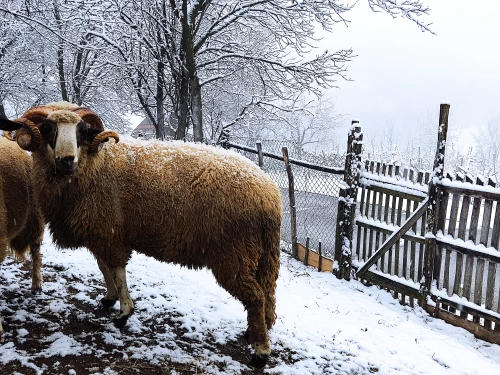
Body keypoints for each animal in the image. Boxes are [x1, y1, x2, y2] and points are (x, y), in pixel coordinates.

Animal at [0, 103, 282, 370]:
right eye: (48, 128)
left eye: (82, 130)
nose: (67, 160)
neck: (94, 164)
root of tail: (269, 195)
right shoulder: (102, 232)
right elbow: (103, 267)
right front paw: (109, 298)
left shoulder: (109, 231)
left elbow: (117, 271)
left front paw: (124, 313)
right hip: (261, 256)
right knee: (266, 294)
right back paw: (254, 333)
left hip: (234, 254)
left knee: (255, 297)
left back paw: (260, 354)